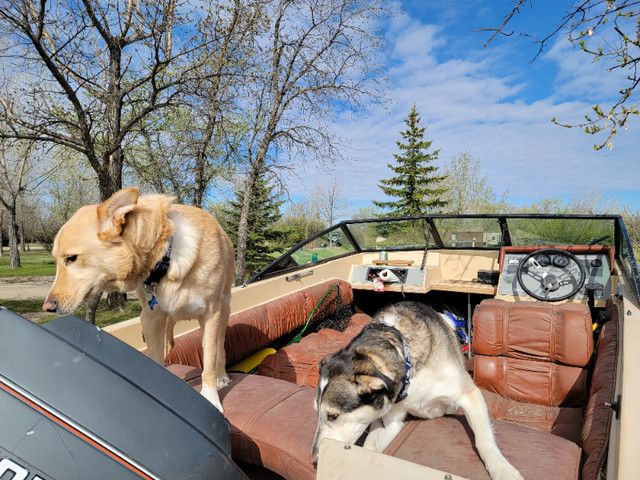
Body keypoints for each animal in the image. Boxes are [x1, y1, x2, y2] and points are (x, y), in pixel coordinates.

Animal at [312, 302, 524, 480]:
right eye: (317, 412)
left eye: (332, 416)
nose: (314, 461)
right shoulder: (391, 419)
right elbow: (369, 446)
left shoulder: (470, 394)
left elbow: (483, 439)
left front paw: (503, 470)